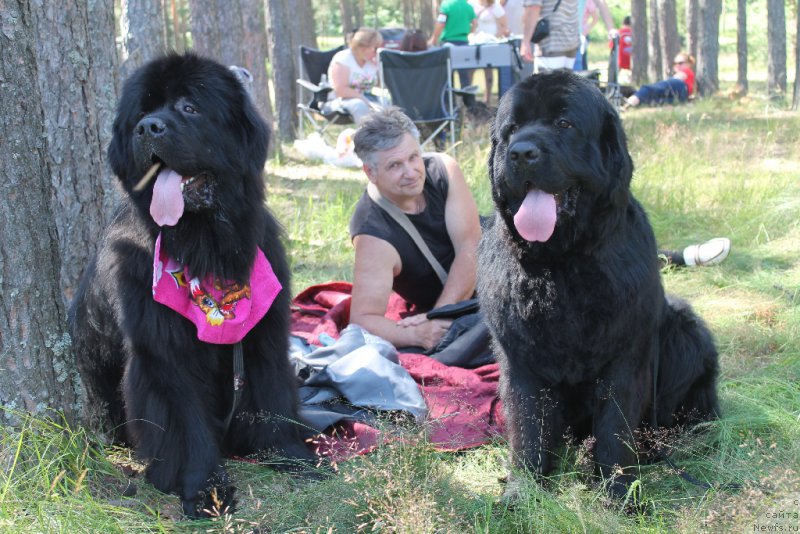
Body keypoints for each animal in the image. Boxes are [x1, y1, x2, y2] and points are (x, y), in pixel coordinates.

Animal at [70, 54, 318, 520]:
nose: (148, 127)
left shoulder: (262, 334)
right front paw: (205, 490)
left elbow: (272, 394)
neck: (206, 248)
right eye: (142, 111)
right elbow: (184, 424)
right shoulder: (163, 355)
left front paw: (290, 453)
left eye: (189, 108)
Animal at [478, 72, 720, 502]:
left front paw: (619, 492)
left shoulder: (624, 355)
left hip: (685, 330)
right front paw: (524, 490)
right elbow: (528, 423)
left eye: (564, 124)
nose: (521, 152)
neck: (561, 266)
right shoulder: (520, 356)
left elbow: (614, 428)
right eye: (511, 129)